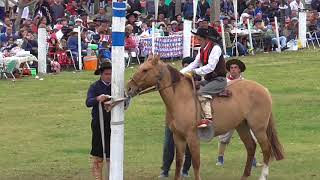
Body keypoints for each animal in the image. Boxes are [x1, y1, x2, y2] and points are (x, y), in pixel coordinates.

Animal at [126, 55, 284, 180]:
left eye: (145, 70)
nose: (129, 88)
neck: (181, 99)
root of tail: (263, 89)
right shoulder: (178, 137)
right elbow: (178, 162)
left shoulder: (192, 137)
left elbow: (196, 163)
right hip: (242, 126)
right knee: (251, 147)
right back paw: (244, 176)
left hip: (258, 128)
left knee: (266, 149)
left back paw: (263, 176)